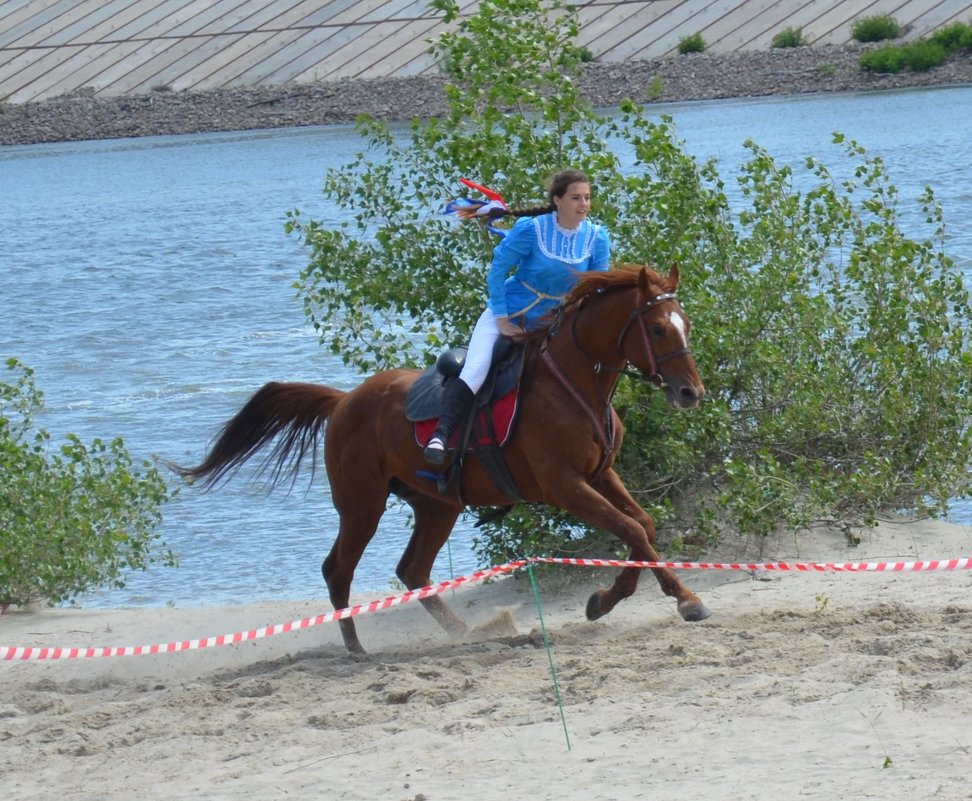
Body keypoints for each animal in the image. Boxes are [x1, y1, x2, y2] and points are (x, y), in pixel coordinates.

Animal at [173, 262, 708, 648]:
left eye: (685, 323)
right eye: (658, 330)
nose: (691, 393)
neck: (574, 385)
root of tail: (343, 401)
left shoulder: (599, 475)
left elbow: (643, 527)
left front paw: (610, 599)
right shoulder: (565, 486)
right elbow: (631, 528)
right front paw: (681, 600)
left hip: (436, 505)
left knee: (412, 570)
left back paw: (466, 633)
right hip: (362, 505)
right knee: (338, 569)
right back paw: (356, 647)